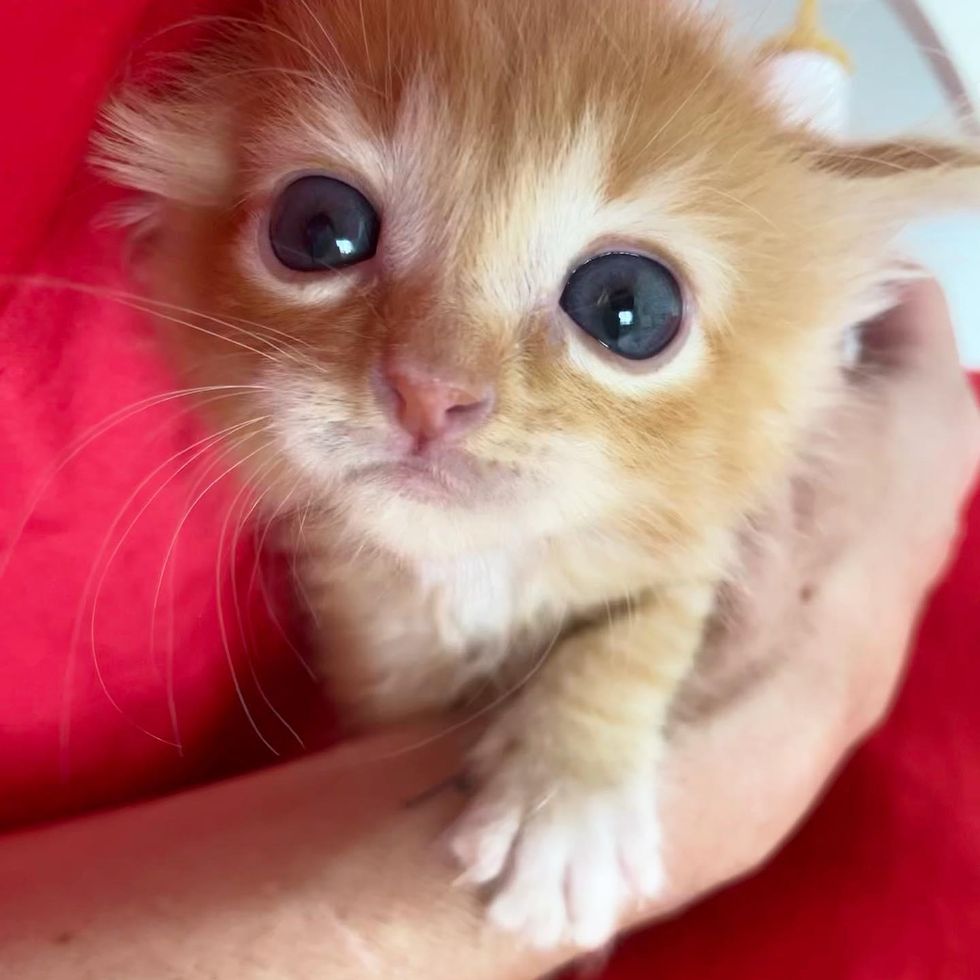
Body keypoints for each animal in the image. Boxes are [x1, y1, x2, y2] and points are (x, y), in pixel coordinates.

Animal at [94, 0, 980, 948]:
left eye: (627, 308)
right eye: (319, 228)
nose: (431, 392)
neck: (471, 572)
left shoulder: (719, 520)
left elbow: (652, 615)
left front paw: (567, 797)